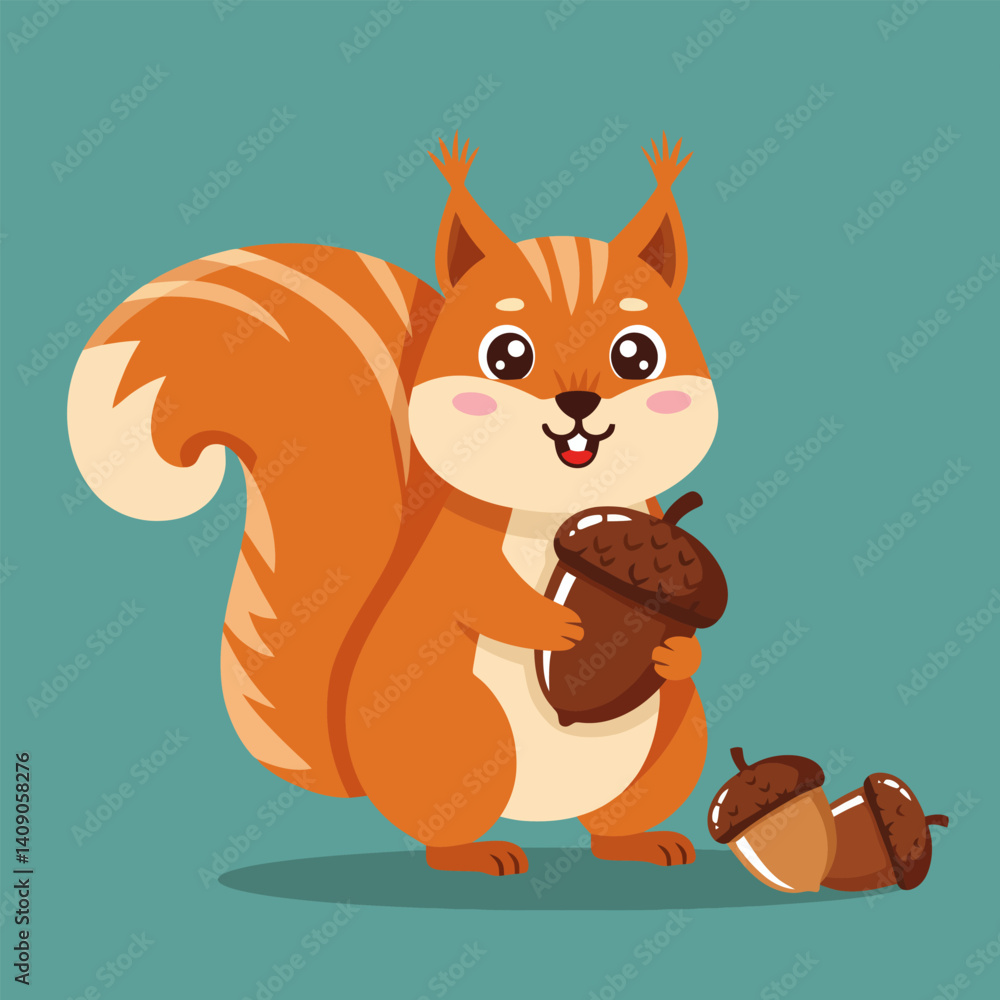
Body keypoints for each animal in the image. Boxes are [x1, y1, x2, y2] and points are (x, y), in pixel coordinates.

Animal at [66, 134, 718, 876]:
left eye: (638, 354)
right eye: (506, 354)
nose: (578, 404)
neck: (557, 501)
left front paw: (675, 654)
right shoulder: (463, 547)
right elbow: (473, 591)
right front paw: (554, 624)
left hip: (669, 749)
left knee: (616, 819)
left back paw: (640, 843)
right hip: (467, 738)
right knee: (442, 833)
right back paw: (477, 855)